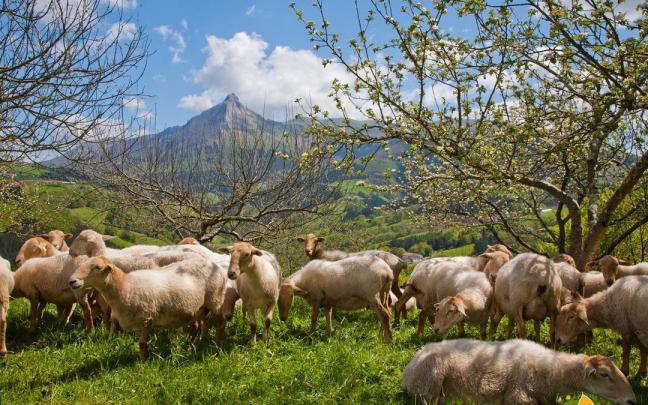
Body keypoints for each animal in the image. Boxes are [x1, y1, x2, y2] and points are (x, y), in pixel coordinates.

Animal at [69, 256, 229, 360]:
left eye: (97, 267)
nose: (71, 281)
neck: (125, 287)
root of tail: (214, 265)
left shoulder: (147, 318)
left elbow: (142, 343)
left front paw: (142, 364)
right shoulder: (139, 323)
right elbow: (142, 344)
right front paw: (144, 358)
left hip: (215, 300)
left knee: (221, 324)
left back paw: (215, 351)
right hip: (197, 308)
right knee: (196, 325)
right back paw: (188, 347)